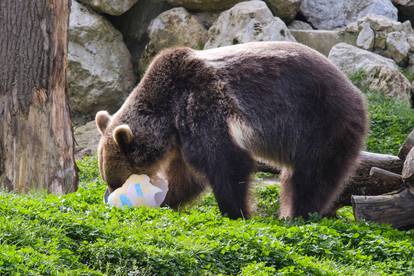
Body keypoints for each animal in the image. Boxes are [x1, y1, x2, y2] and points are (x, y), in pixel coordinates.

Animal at [95, 41, 368, 219]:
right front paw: (167, 201)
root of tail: (356, 93)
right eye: (108, 178)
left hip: (320, 123)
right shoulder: (182, 136)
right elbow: (187, 177)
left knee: (311, 176)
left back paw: (298, 214)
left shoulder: (203, 104)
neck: (168, 112)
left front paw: (236, 211)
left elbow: (225, 162)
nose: (109, 195)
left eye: (117, 179)